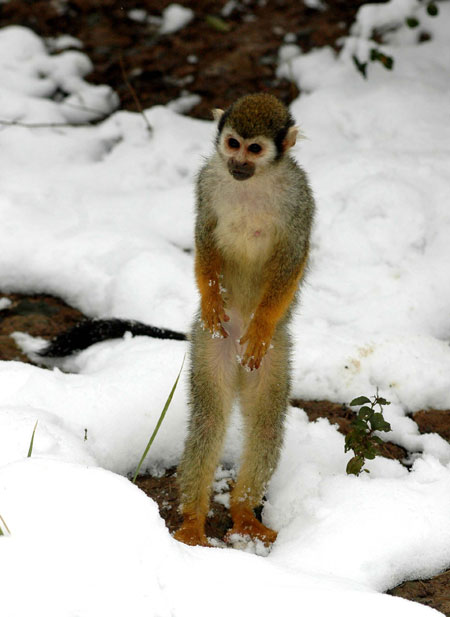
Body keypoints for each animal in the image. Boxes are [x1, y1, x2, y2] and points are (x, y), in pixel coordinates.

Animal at [174, 91, 314, 544]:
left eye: (255, 149)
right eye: (233, 143)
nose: (237, 163)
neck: (252, 184)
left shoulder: (300, 196)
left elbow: (293, 254)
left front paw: (264, 320)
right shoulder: (207, 180)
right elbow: (205, 234)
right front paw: (209, 297)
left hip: (273, 355)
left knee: (266, 426)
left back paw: (243, 512)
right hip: (209, 342)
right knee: (209, 420)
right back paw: (193, 520)